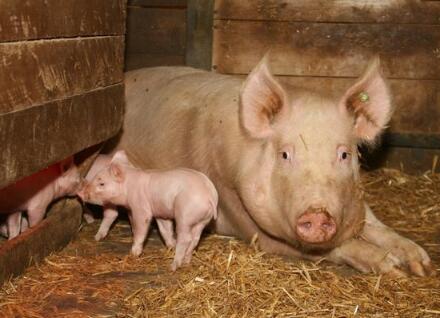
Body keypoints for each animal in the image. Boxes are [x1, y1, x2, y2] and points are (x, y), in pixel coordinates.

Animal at [78, 152, 218, 270]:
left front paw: (134, 253)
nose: (80, 192)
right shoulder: (161, 212)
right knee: (195, 238)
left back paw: (173, 266)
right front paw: (171, 245)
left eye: (101, 183)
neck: (128, 187)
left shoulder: (140, 208)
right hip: (203, 220)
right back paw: (186, 261)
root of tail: (209, 194)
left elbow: (141, 228)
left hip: (184, 215)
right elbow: (165, 230)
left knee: (186, 238)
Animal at [111, 57, 434, 276]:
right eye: (285, 155)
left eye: (344, 154)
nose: (317, 213)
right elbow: (331, 248)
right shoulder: (244, 218)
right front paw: (393, 268)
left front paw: (422, 265)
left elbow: (375, 225)